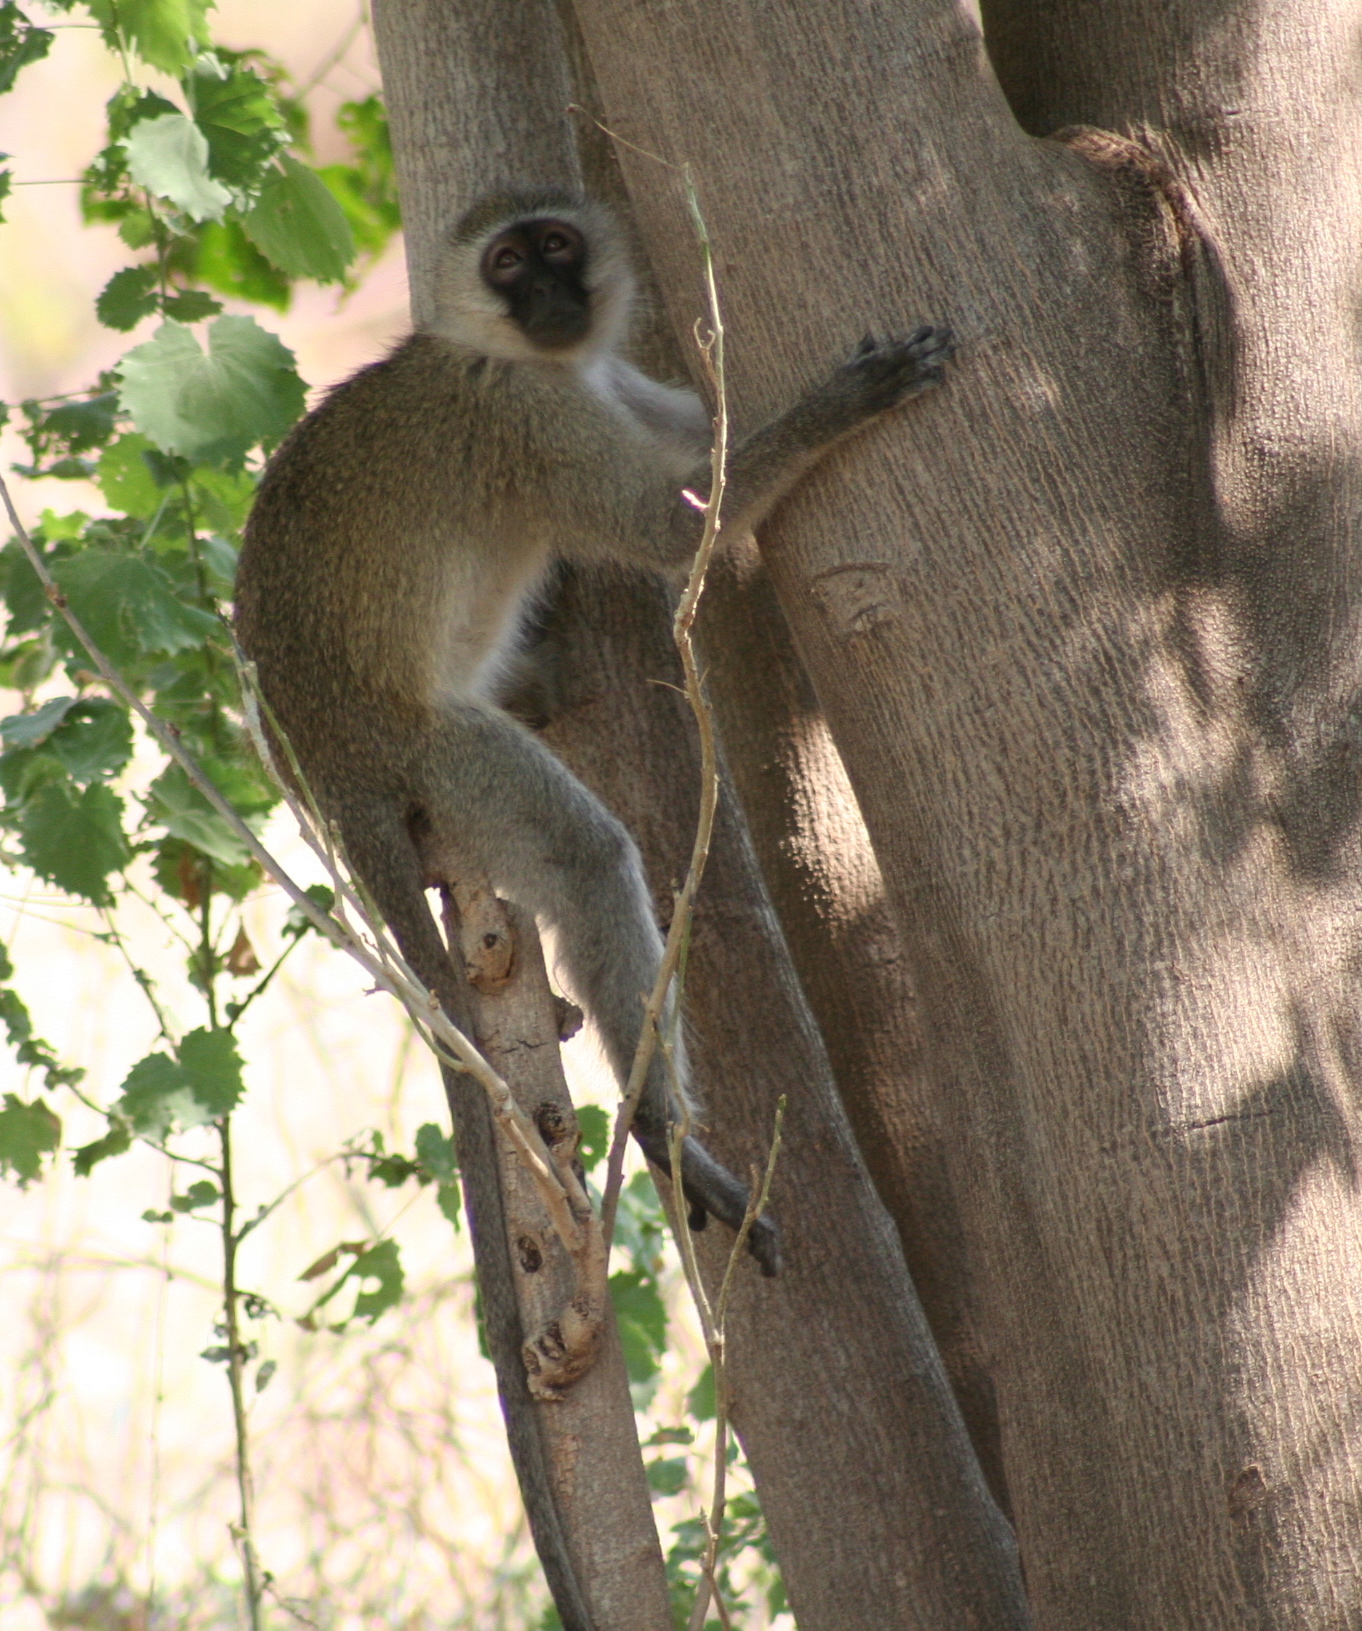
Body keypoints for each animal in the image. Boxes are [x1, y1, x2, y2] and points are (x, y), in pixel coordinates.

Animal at [234, 185, 952, 1611]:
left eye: (560, 247)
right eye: (512, 261)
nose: (554, 292)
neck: (523, 355)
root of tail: (323, 758)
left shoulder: (604, 382)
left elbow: (696, 437)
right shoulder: (534, 422)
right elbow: (684, 531)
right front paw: (842, 402)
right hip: (440, 764)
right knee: (580, 853)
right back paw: (666, 1132)